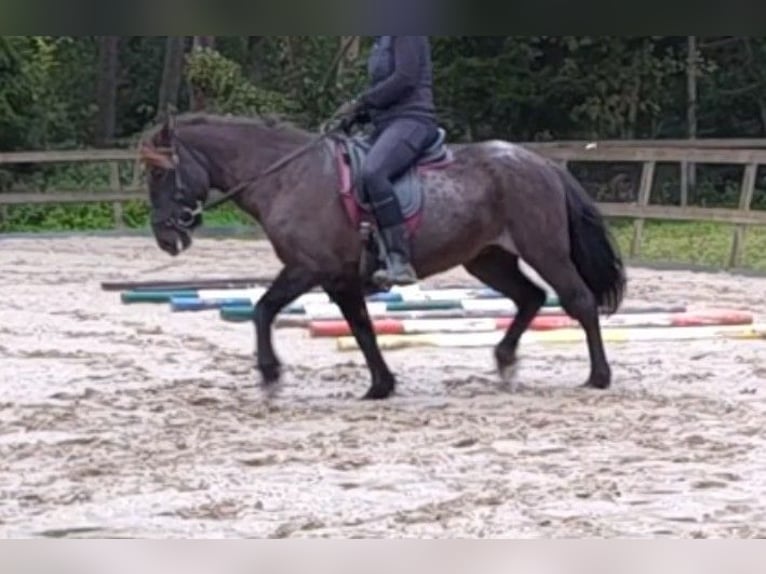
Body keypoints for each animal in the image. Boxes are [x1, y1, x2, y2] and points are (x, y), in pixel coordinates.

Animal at [138, 112, 627, 400]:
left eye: (161, 174)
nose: (166, 239)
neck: (286, 177)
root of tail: (543, 165)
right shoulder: (337, 279)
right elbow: (362, 329)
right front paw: (381, 385)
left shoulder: (307, 268)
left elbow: (263, 309)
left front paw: (271, 375)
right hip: (487, 258)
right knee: (530, 298)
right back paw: (505, 362)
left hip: (544, 250)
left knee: (578, 301)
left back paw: (598, 377)